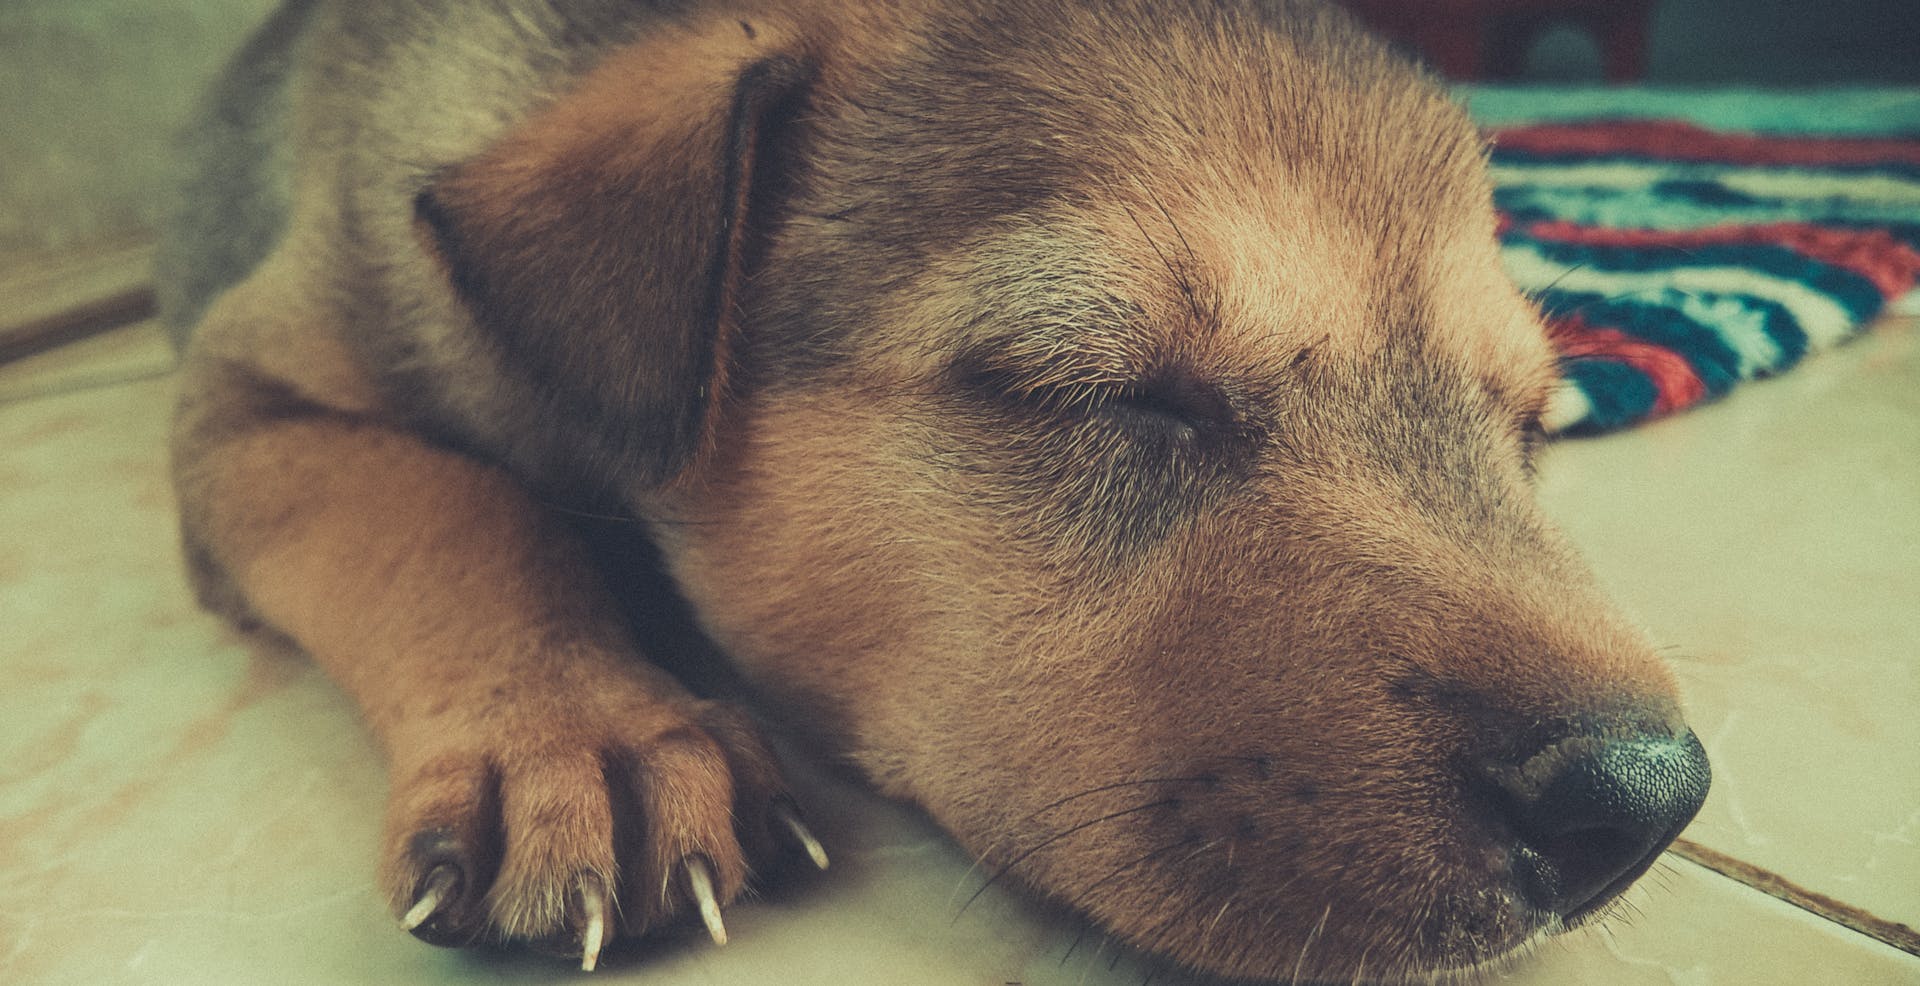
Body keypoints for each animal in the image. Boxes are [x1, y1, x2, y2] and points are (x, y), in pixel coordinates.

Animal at [153, 3, 1712, 978]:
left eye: (1531, 426)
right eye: (1115, 392)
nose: (1642, 804)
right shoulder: (245, 391)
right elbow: (449, 512)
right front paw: (577, 733)